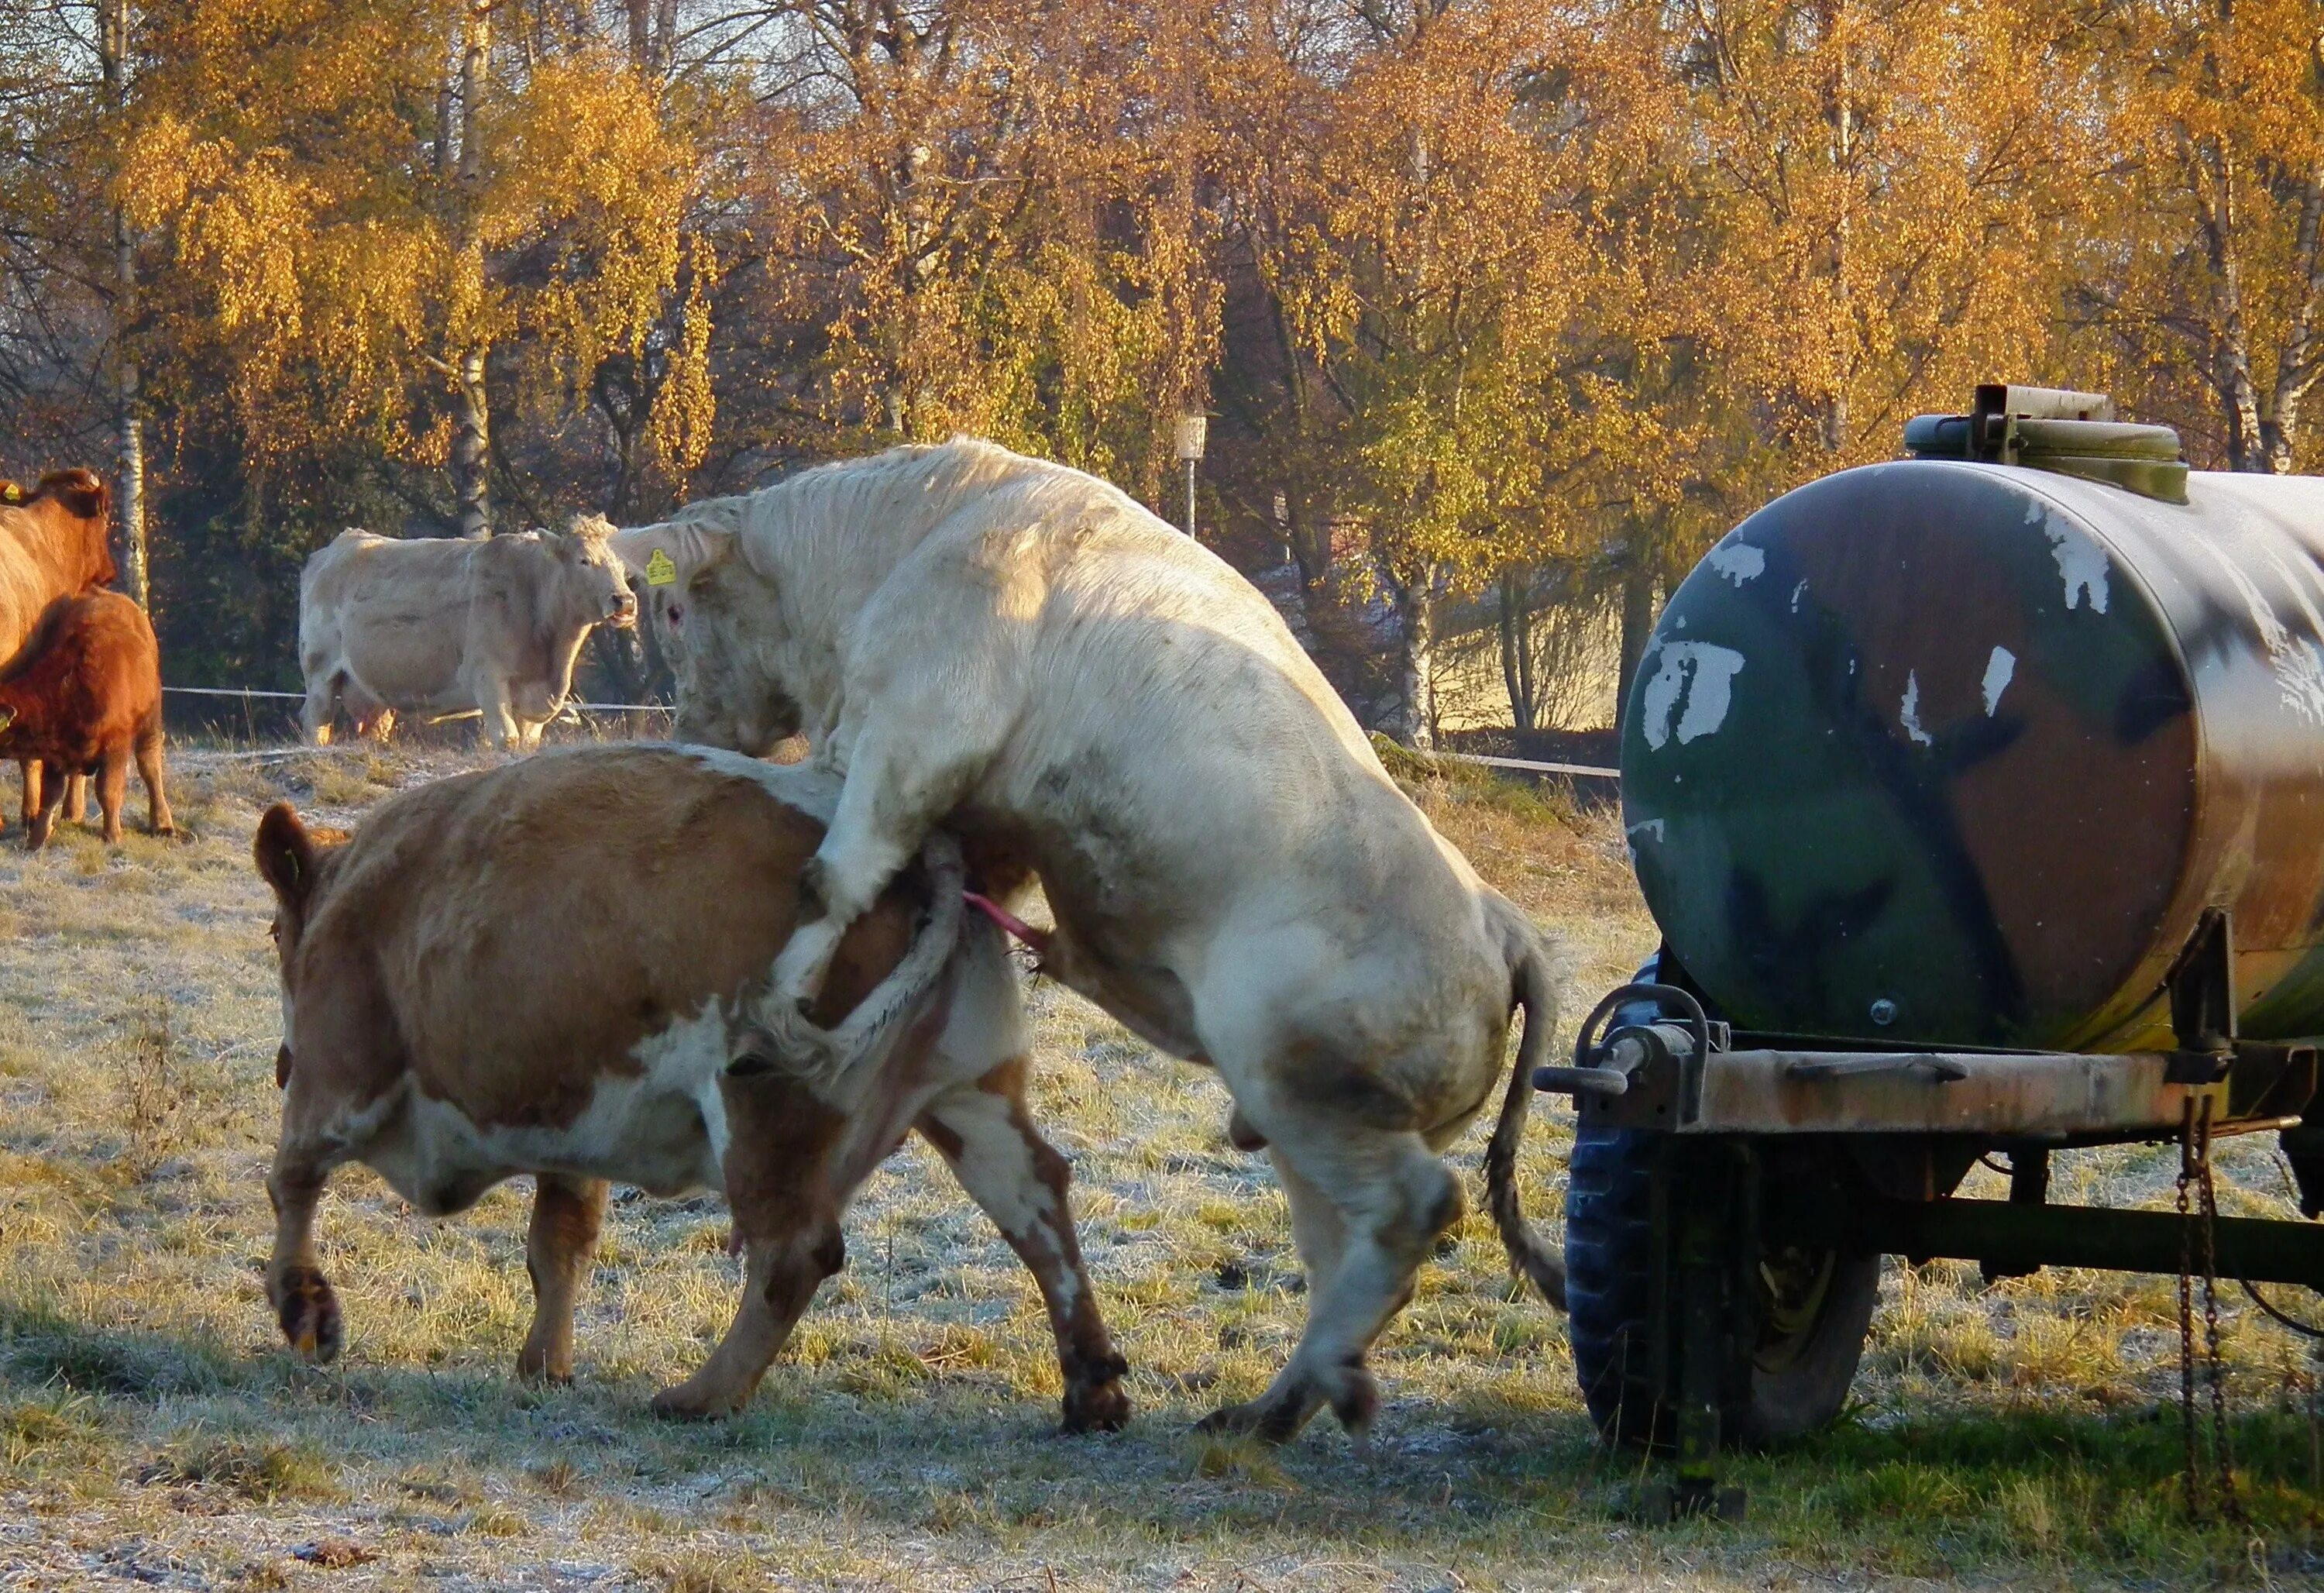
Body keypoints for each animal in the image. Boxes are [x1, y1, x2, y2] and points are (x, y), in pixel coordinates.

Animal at [0, 590, 170, 851]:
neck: (69, 684)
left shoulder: (115, 745)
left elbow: (108, 790)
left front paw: (112, 835)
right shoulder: (56, 753)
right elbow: (50, 795)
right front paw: (37, 839)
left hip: (150, 720)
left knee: (150, 766)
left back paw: (162, 823)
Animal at [254, 744, 1125, 1432]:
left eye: (274, 930)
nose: (281, 1063)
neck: (354, 893)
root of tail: (924, 859)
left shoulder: (338, 1076)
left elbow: (290, 1177)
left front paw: (306, 1309)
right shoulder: (569, 1132)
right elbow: (558, 1243)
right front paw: (544, 1366)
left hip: (763, 1109)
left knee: (795, 1250)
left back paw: (701, 1395)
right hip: (970, 1098)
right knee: (1038, 1205)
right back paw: (1093, 1391)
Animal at [304, 516, 646, 753]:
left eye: (621, 564)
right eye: (584, 560)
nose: (625, 601)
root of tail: (347, 540)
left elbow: (527, 743)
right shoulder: (487, 677)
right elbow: (507, 739)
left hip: (375, 693)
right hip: (319, 672)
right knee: (316, 722)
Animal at [609, 435, 1571, 1441]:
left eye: (673, 609)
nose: (685, 722)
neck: (910, 537)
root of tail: (1502, 926)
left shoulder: (914, 736)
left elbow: (833, 874)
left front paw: (778, 1011)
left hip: (1297, 1079)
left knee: (1411, 1209)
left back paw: (1318, 1379)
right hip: (1304, 1116)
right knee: (1342, 1247)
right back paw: (1273, 1404)